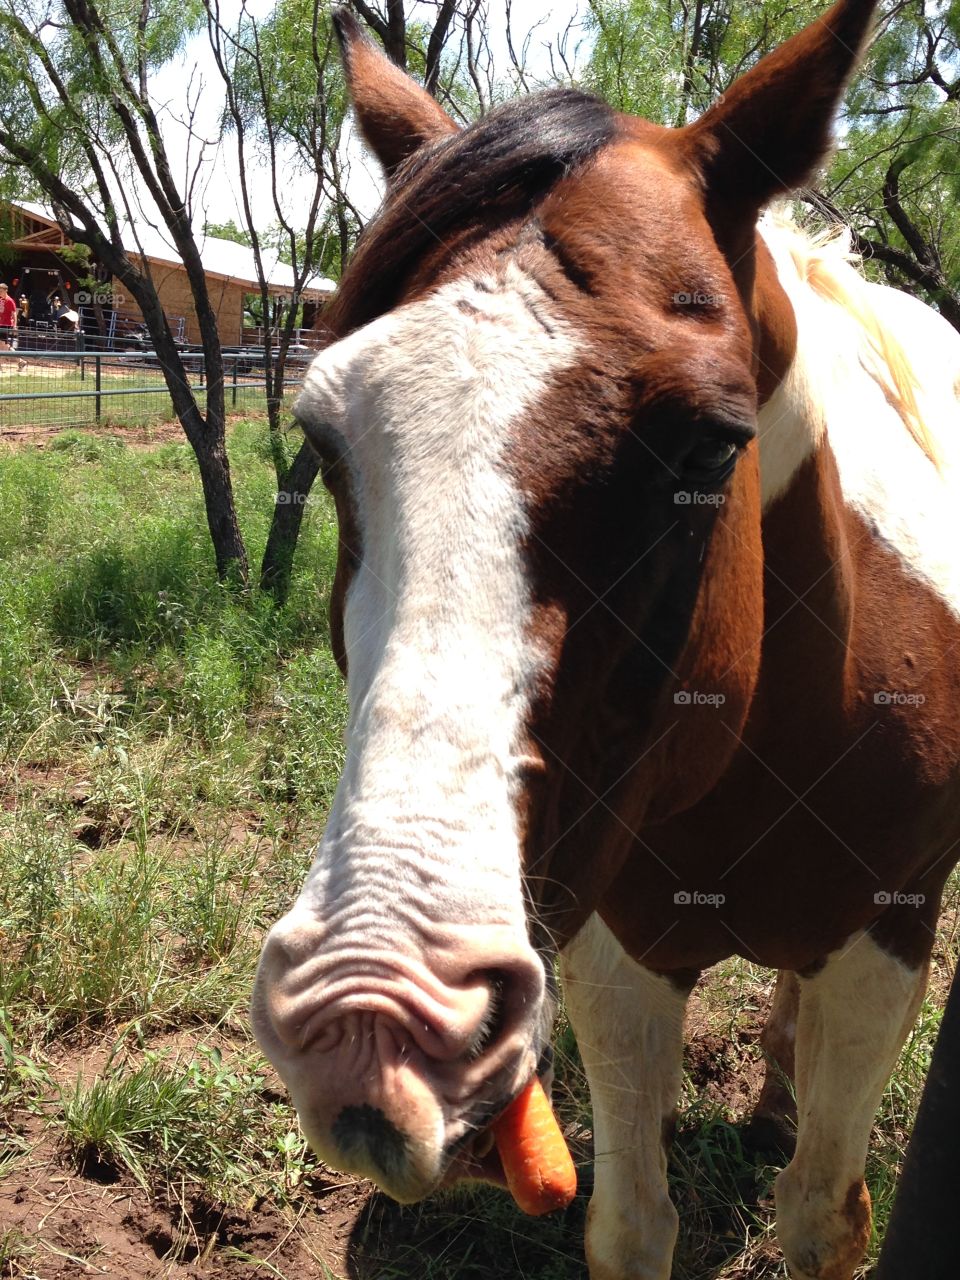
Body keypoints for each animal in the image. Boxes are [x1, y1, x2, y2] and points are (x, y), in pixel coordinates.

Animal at [252, 5, 960, 1274]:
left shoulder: (885, 945)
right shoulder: (613, 947)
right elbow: (633, 1222)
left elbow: (822, 1216)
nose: (371, 1015)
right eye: (325, 438)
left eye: (710, 444)